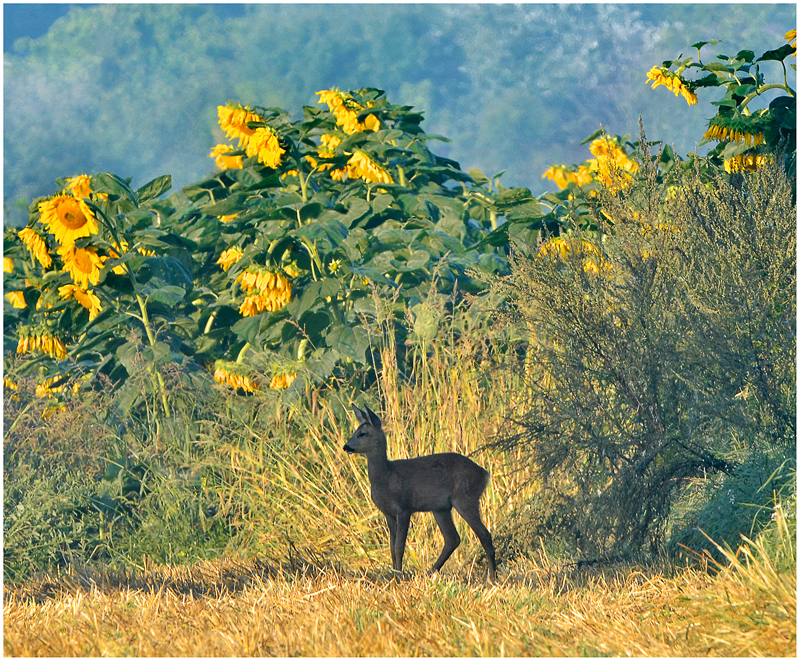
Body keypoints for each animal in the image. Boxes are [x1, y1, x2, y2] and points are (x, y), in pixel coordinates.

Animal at [346, 402, 496, 584]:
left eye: (362, 433)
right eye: (355, 431)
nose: (346, 446)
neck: (386, 477)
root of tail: (485, 474)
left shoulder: (404, 508)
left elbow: (399, 546)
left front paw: (399, 576)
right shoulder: (388, 513)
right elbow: (391, 546)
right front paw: (393, 574)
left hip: (466, 498)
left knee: (484, 534)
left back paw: (492, 578)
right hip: (441, 508)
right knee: (453, 538)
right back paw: (430, 572)